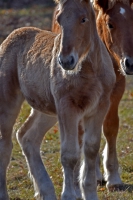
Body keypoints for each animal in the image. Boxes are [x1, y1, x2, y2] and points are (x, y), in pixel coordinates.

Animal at [0, 0, 115, 200]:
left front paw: (89, 193)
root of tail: (9, 37)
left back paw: (46, 191)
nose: (66, 61)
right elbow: (69, 154)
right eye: (59, 20)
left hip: (46, 110)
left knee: (27, 136)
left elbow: (91, 149)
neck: (89, 72)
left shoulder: (99, 107)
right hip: (9, 102)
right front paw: (68, 195)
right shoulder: (67, 108)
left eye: (83, 19)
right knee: (5, 146)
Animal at [51, 0, 133, 191]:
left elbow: (110, 128)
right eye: (110, 24)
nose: (131, 63)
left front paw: (113, 177)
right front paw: (92, 174)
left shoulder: (115, 91)